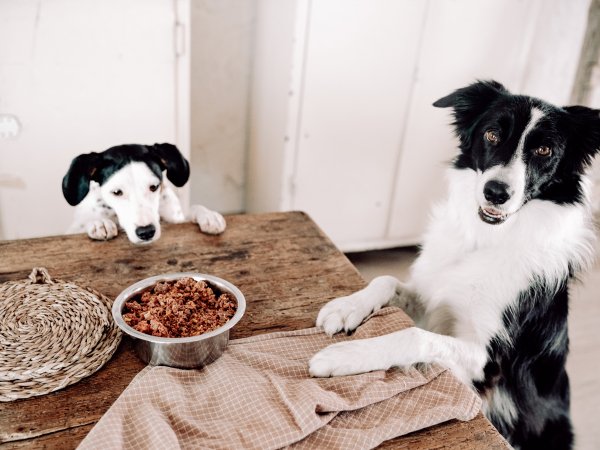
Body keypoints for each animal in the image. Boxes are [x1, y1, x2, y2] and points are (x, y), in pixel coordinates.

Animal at [62, 143, 226, 244]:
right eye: (116, 192)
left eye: (154, 187)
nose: (146, 232)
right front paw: (99, 222)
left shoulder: (175, 217)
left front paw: (207, 215)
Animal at [309, 80, 600, 449]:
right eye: (492, 134)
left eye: (545, 150)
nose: (495, 192)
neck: (484, 239)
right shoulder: (432, 298)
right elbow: (386, 280)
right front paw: (346, 308)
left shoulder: (488, 362)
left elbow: (414, 336)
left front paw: (342, 356)